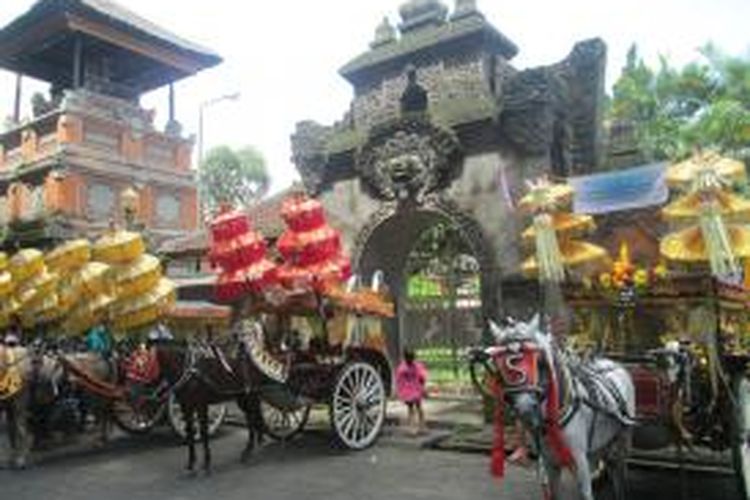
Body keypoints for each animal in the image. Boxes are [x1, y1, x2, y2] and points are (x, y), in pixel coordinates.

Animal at [154, 332, 266, 472]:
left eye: (141, 360)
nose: (159, 392)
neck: (190, 372)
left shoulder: (201, 405)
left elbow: (203, 431)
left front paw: (207, 462)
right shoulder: (186, 406)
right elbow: (190, 432)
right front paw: (191, 462)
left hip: (251, 397)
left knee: (253, 418)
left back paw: (251, 448)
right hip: (243, 398)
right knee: (252, 418)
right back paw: (251, 447)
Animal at [472, 316, 636, 500]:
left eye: (538, 361)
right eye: (500, 365)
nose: (525, 408)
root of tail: (614, 363)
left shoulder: (579, 461)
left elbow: (586, 493)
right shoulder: (550, 463)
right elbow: (553, 493)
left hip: (621, 442)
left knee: (618, 474)